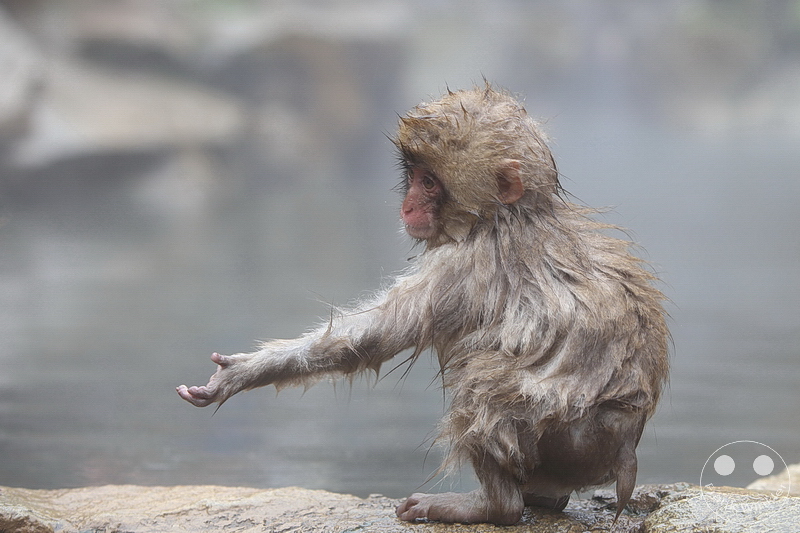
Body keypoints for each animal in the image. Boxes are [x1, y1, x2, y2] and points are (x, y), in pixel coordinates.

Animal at [177, 85, 669, 525]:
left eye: (430, 182)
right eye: (414, 177)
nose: (408, 204)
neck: (510, 215)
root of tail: (625, 448)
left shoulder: (462, 265)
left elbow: (371, 336)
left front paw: (240, 374)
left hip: (569, 434)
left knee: (482, 377)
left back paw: (495, 506)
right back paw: (541, 497)